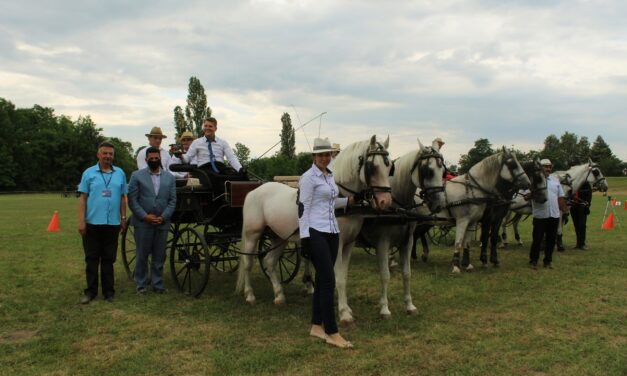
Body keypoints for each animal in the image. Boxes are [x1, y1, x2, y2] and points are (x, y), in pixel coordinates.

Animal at [236, 135, 392, 306]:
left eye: (389, 166)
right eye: (372, 167)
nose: (385, 201)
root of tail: (253, 192)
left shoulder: (349, 244)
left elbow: (343, 276)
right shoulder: (337, 244)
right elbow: (337, 277)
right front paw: (343, 309)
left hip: (278, 236)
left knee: (270, 262)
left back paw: (279, 295)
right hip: (252, 234)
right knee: (248, 263)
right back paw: (250, 295)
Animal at [356, 140, 448, 318]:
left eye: (443, 171)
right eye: (428, 171)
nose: (439, 204)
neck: (397, 205)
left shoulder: (407, 241)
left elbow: (407, 273)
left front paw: (409, 305)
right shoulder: (382, 243)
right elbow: (385, 275)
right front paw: (384, 308)